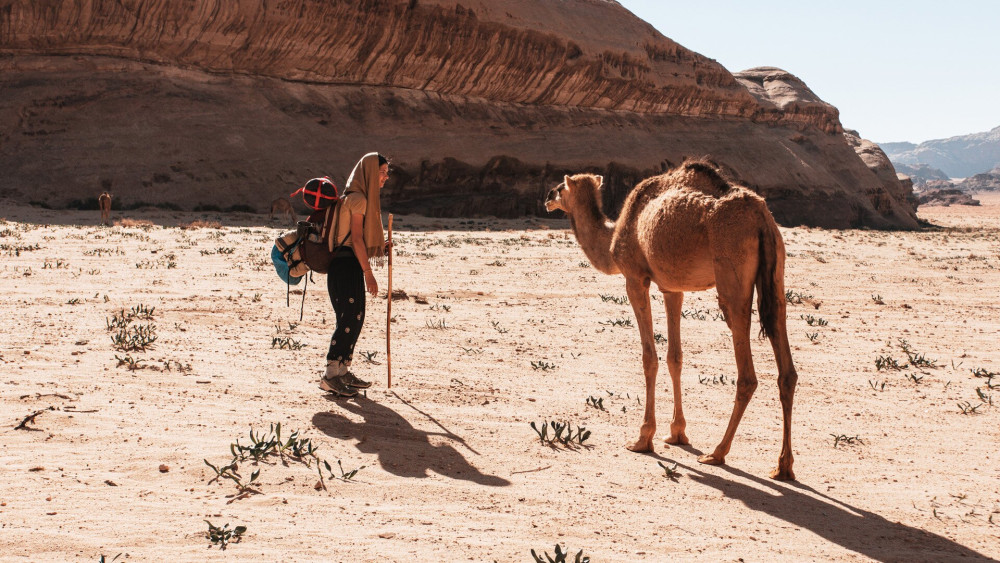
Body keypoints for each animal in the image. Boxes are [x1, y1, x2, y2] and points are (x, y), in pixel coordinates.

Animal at [548, 161, 796, 482]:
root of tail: (762, 220)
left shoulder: (635, 278)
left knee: (747, 373)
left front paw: (643, 438)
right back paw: (783, 466)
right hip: (776, 271)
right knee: (785, 361)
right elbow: (674, 357)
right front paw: (677, 434)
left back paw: (717, 452)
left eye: (561, 188)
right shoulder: (672, 288)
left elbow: (649, 358)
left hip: (732, 273)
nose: (547, 197)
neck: (615, 237)